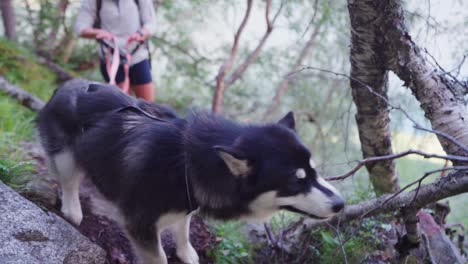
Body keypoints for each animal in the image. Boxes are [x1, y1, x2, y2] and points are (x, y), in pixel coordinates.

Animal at [36, 79, 344, 262]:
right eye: (296, 181)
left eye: (314, 170)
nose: (342, 204)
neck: (184, 162)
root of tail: (70, 83)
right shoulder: (140, 225)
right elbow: (158, 257)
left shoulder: (185, 203)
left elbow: (183, 229)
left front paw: (187, 253)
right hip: (66, 156)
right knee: (69, 180)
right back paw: (73, 208)